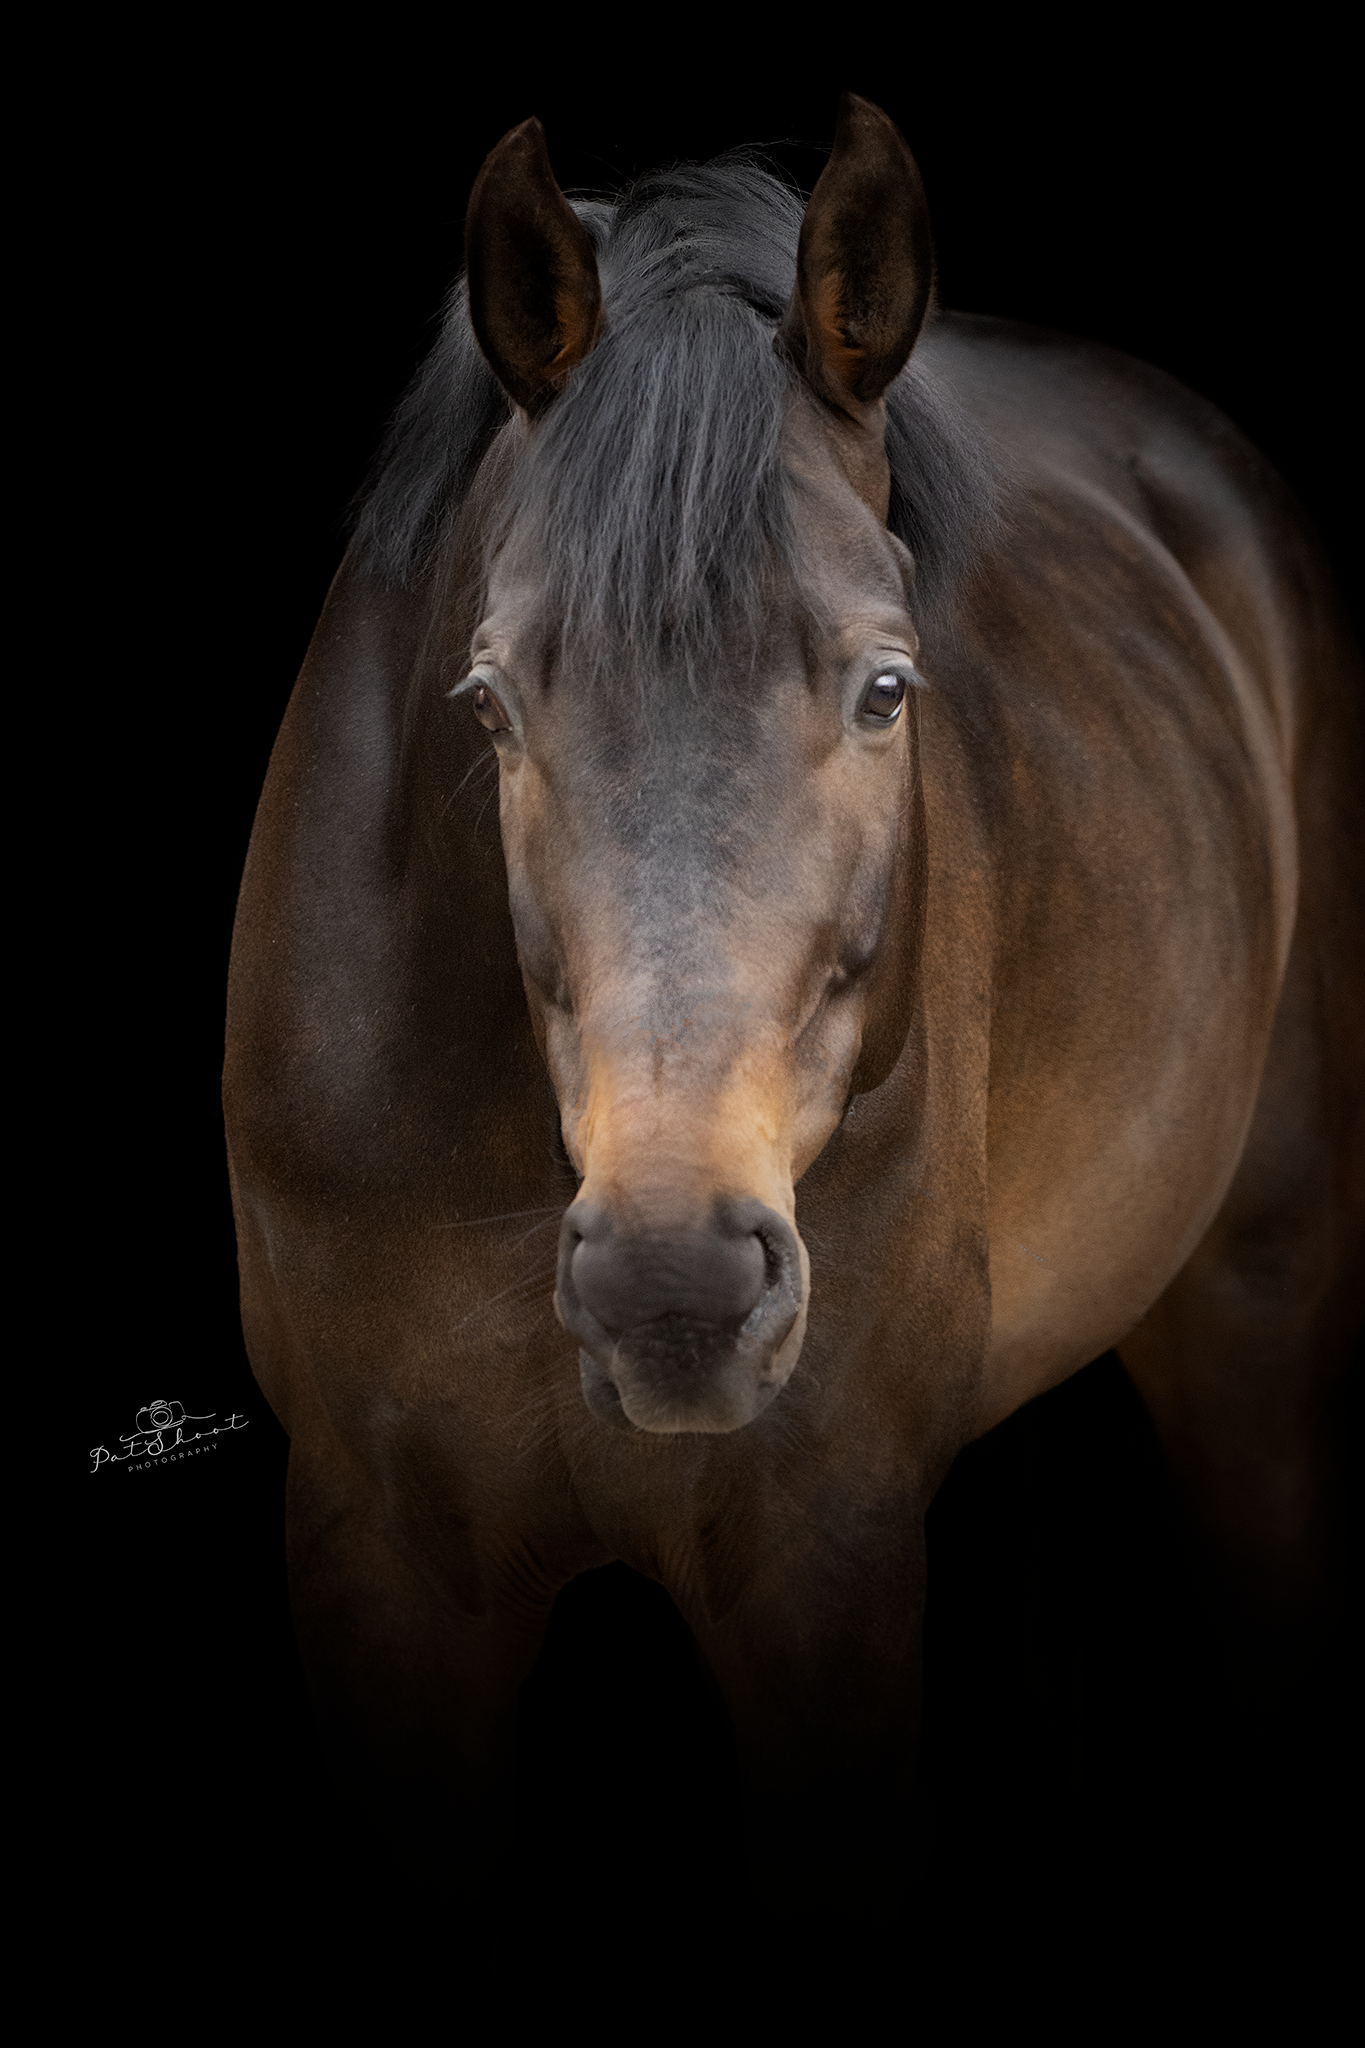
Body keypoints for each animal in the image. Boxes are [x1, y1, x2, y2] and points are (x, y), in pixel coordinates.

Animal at [224, 95, 1361, 1902]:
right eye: (491, 698)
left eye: (886, 686)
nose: (672, 1280)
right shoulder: (377, 1561)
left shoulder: (820, 1560)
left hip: (1258, 1311)